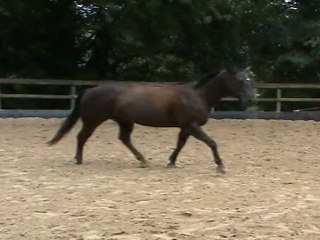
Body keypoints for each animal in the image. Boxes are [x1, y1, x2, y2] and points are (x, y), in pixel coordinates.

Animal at [47, 66, 256, 173]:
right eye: (240, 80)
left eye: (250, 80)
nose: (253, 99)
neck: (198, 95)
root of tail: (90, 90)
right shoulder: (192, 125)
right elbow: (211, 142)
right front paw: (220, 166)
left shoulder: (186, 126)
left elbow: (180, 144)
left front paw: (171, 162)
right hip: (93, 120)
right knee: (82, 137)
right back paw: (79, 159)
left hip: (124, 121)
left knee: (124, 139)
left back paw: (143, 160)